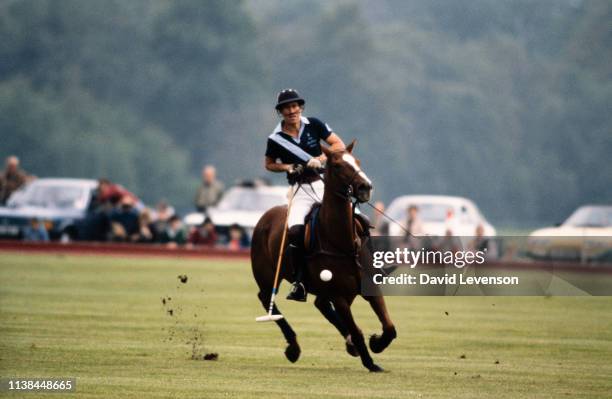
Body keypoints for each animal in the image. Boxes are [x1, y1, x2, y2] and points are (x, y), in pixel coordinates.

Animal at [250, 141, 396, 372]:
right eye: (336, 165)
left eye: (357, 161)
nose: (365, 187)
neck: (342, 242)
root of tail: (266, 215)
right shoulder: (338, 294)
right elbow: (357, 330)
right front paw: (371, 362)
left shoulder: (368, 285)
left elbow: (390, 327)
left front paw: (376, 344)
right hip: (267, 274)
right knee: (266, 298)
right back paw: (293, 347)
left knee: (321, 305)